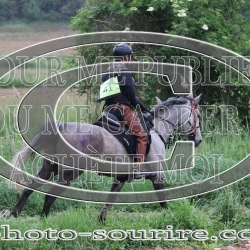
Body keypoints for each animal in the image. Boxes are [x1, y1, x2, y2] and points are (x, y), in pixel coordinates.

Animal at [4, 93, 202, 221]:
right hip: (69, 173)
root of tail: (62, 126)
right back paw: (44, 222)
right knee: (49, 196)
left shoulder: (121, 177)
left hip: (49, 167)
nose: (198, 140)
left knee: (29, 188)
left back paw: (14, 213)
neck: (156, 128)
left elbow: (110, 198)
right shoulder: (157, 174)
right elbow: (162, 199)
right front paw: (169, 216)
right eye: (198, 115)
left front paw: (102, 220)